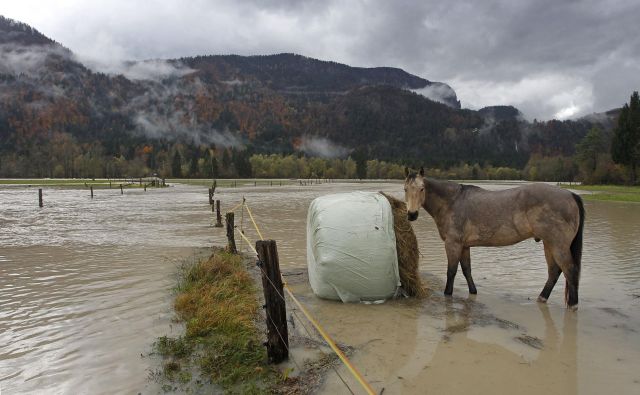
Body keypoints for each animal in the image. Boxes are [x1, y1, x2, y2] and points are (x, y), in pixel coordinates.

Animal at [404, 167, 584, 310]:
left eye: (422, 189)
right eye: (405, 189)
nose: (412, 214)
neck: (452, 201)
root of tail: (571, 194)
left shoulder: (453, 244)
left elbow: (451, 271)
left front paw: (448, 294)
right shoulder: (464, 246)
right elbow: (467, 270)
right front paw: (473, 291)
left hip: (558, 245)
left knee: (570, 270)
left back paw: (573, 305)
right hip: (549, 244)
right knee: (554, 271)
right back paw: (542, 298)